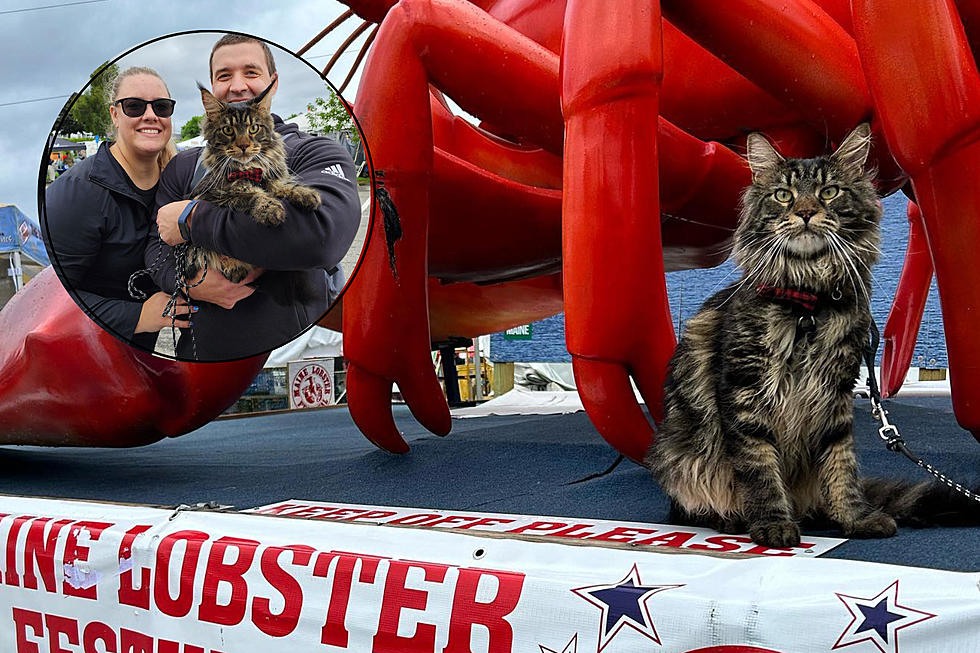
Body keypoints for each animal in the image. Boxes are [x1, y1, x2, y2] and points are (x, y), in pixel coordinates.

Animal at [184, 79, 322, 282]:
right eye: (228, 130)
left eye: (254, 128)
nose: (243, 146)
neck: (249, 169)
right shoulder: (212, 196)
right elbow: (250, 194)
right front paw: (269, 208)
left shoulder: (271, 179)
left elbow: (282, 185)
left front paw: (303, 192)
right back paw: (234, 267)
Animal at [648, 125, 976, 548]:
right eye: (783, 195)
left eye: (829, 192)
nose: (804, 212)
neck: (808, 300)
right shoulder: (744, 392)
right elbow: (759, 469)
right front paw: (773, 523)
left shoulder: (835, 395)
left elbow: (841, 466)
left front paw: (856, 518)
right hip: (679, 458)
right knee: (692, 504)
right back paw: (730, 518)